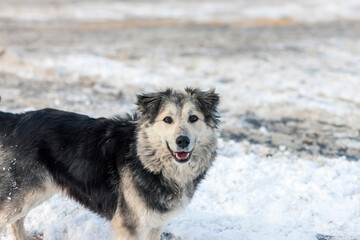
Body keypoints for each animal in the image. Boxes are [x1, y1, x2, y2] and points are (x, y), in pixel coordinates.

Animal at [0, 88, 219, 240]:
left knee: (17, 220)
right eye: (167, 119)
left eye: (193, 118)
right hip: (26, 192)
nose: (182, 141)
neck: (145, 160)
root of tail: (17, 119)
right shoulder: (129, 226)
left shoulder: (155, 223)